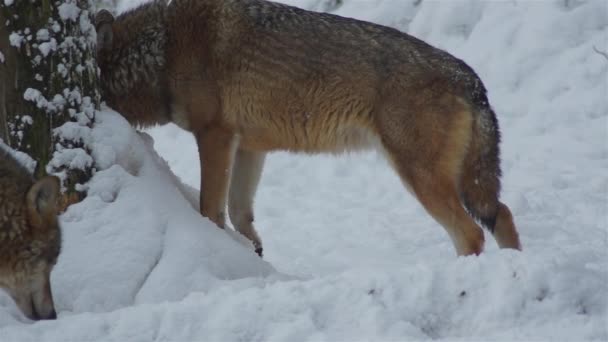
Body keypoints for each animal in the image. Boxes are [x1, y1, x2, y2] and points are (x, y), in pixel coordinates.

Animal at [96, 0, 524, 256]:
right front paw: (254, 255)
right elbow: (239, 212)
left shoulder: (214, 136)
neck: (161, 49)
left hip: (421, 179)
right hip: (462, 184)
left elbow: (211, 210)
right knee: (502, 213)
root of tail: (470, 78)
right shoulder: (249, 147)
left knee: (471, 233)